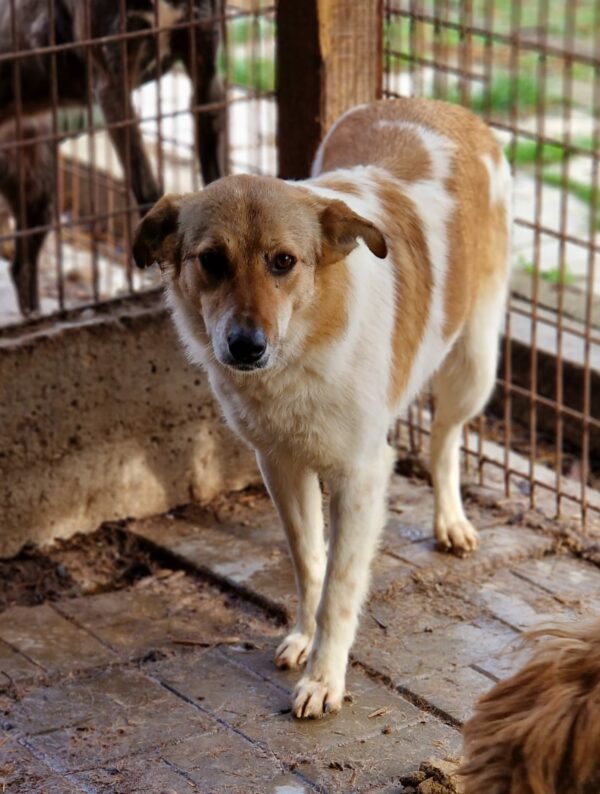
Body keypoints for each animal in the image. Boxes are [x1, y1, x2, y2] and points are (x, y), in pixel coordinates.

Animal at [135, 97, 510, 716]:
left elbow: (340, 585)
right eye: (211, 260)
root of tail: (437, 105)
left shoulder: (361, 474)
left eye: (284, 261)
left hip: (475, 363)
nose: (246, 346)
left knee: (445, 439)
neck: (303, 347)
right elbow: (310, 563)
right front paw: (303, 639)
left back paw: (451, 520)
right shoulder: (280, 464)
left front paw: (324, 678)